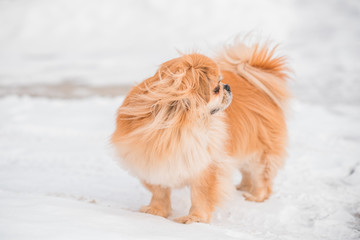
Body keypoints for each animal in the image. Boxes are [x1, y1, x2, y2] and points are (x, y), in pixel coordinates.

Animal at [111, 39, 292, 223]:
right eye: (216, 89)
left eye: (221, 83)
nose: (227, 86)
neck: (174, 129)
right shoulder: (152, 164)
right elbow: (159, 192)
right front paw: (155, 212)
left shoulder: (205, 168)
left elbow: (200, 196)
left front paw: (194, 219)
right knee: (246, 170)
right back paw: (243, 188)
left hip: (260, 152)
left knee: (261, 176)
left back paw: (255, 197)